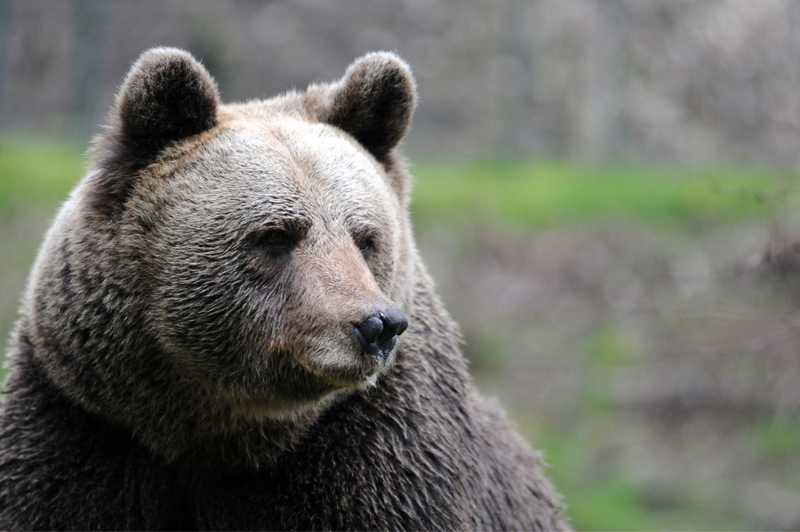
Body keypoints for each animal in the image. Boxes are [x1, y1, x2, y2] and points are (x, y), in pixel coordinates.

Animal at [0, 47, 568, 528]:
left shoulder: (378, 462)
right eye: (276, 235)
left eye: (366, 239)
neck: (208, 432)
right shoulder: (84, 430)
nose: (378, 325)